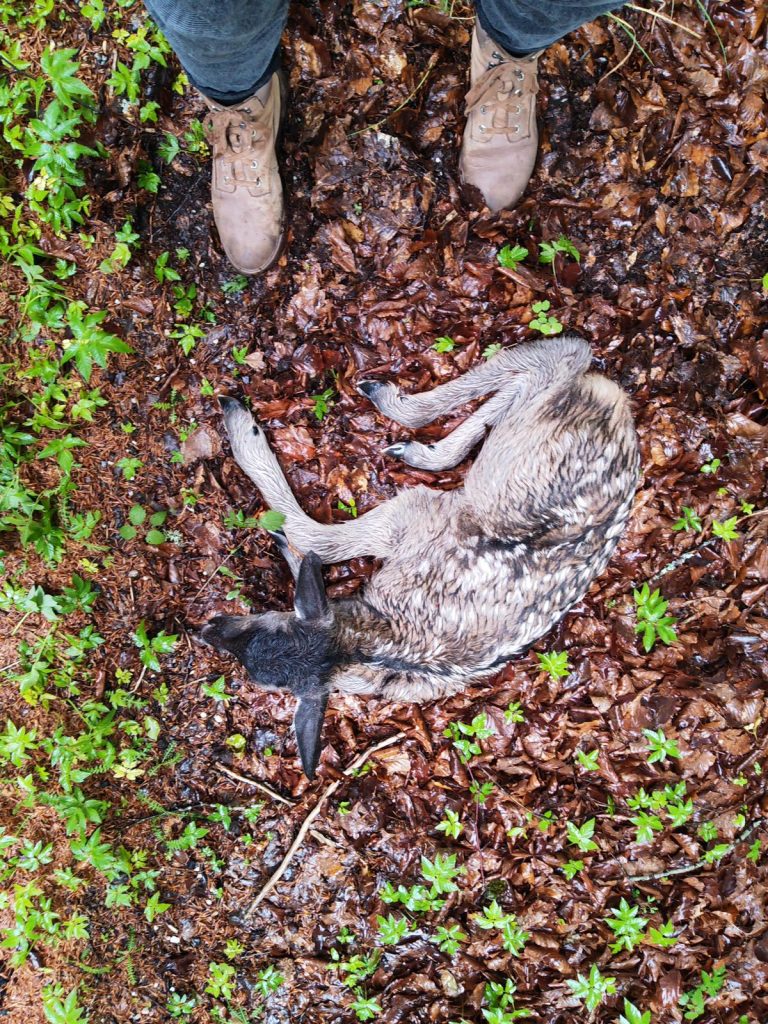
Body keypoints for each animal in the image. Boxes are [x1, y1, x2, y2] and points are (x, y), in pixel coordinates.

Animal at [201, 335, 639, 778]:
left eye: (263, 681)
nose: (208, 629)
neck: (374, 644)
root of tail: (621, 407)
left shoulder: (408, 516)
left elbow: (315, 540)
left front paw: (253, 453)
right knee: (548, 368)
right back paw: (415, 443)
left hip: (498, 463)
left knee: (562, 353)